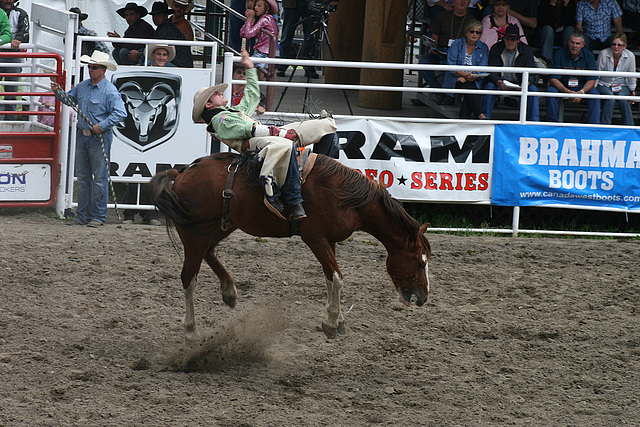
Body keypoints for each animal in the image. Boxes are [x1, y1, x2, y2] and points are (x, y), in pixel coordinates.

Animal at [148, 152, 432, 342]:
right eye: (420, 262)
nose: (423, 298)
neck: (347, 198)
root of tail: (180, 173)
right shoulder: (315, 238)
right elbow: (338, 278)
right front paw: (332, 322)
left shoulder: (330, 240)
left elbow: (330, 277)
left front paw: (335, 319)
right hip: (195, 232)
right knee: (189, 277)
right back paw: (192, 331)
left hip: (220, 226)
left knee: (209, 253)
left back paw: (229, 291)